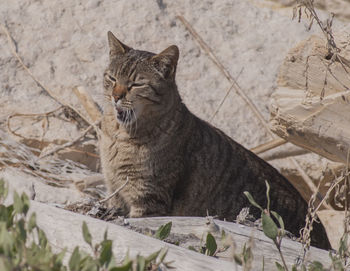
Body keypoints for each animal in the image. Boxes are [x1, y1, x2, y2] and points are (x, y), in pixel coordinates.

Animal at [99, 30, 330, 250]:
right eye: (111, 78)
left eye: (136, 84)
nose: (115, 96)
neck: (120, 136)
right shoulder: (114, 190)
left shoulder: (149, 198)